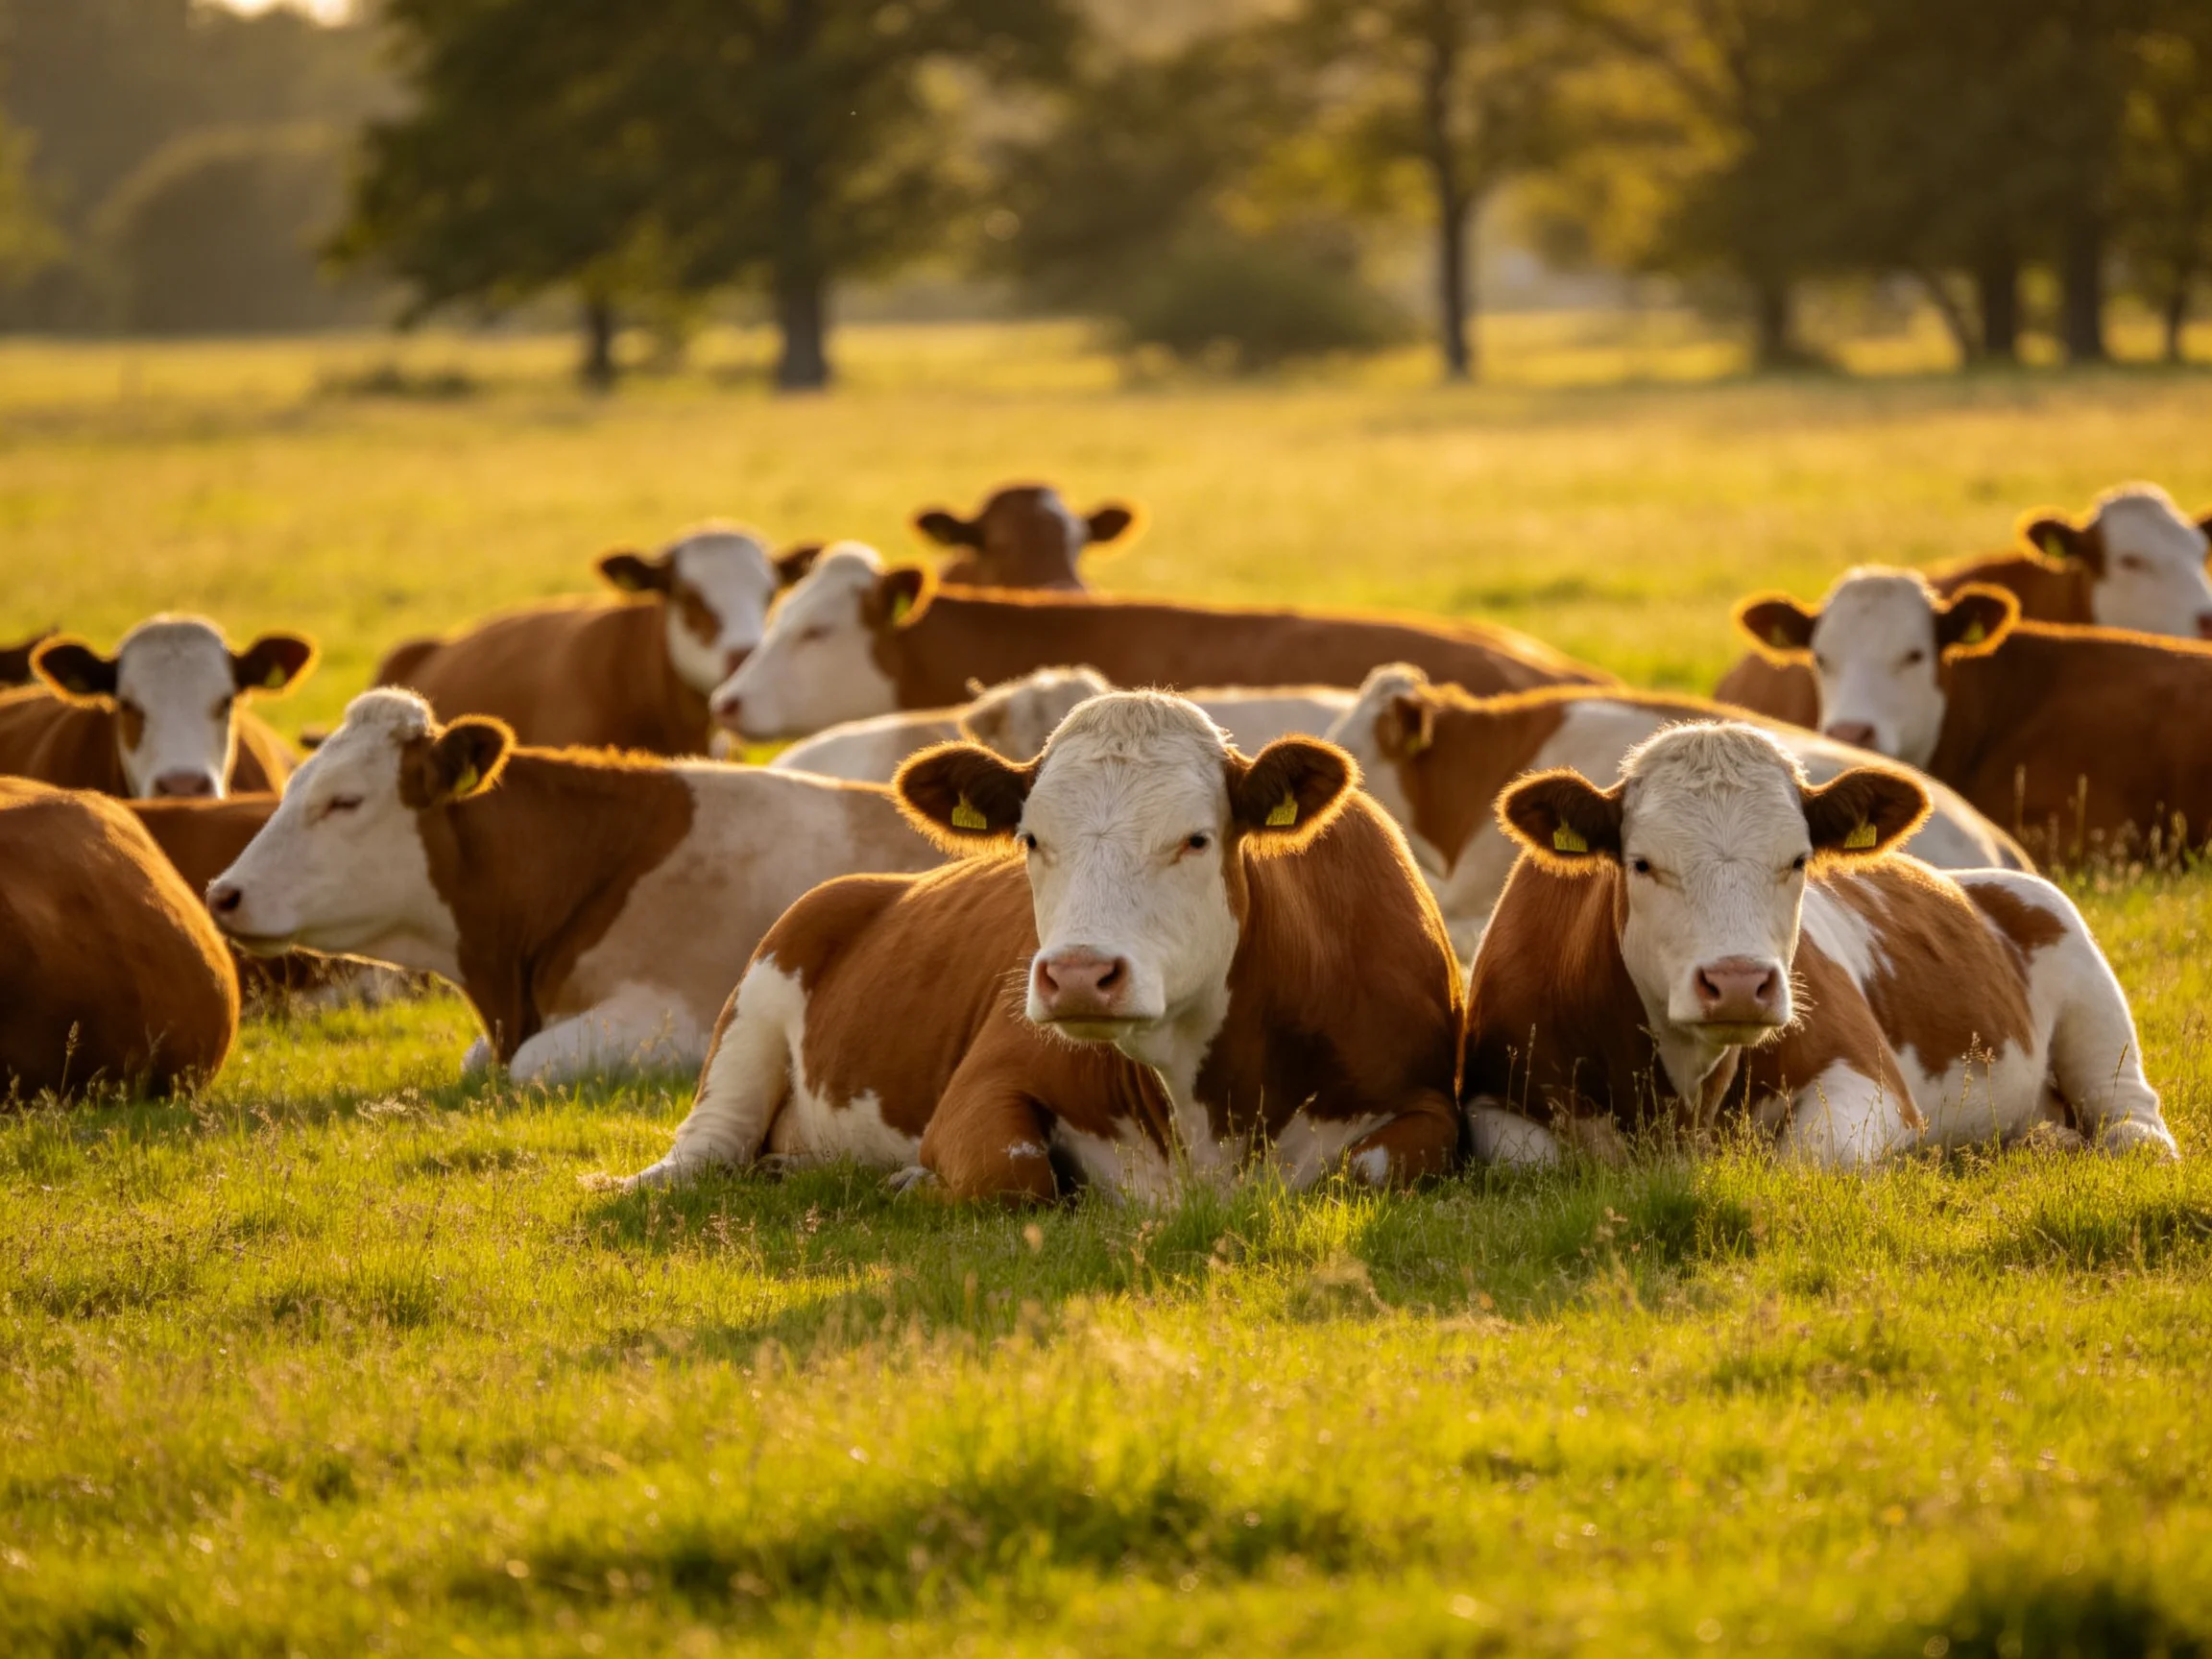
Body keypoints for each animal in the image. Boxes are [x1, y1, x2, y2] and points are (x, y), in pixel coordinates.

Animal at [618, 692, 1463, 1200]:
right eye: (1030, 838)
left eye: (1196, 838)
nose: (1081, 975)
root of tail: (866, 886)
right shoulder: (986, 1082)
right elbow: (1015, 1170)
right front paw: (915, 1182)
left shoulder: (1426, 1103)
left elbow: (1371, 1167)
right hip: (758, 1003)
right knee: (707, 1148)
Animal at [1462, 723, 2176, 1168]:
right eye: (1641, 863)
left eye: (1799, 859)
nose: (1738, 983)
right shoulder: (1495, 1096)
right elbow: (1534, 1160)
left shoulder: (1872, 1081)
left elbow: (1805, 1160)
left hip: (2090, 1001)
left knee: (2132, 1119)